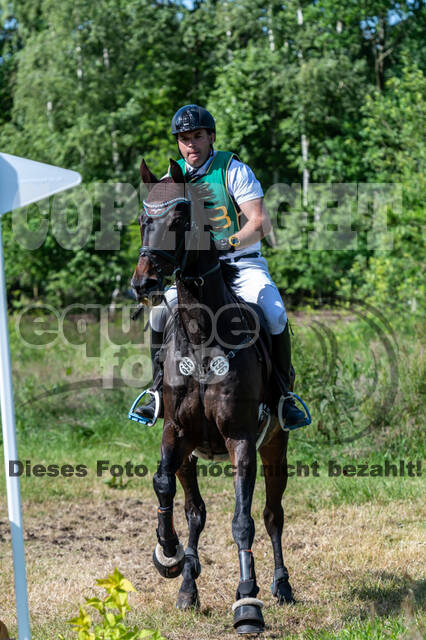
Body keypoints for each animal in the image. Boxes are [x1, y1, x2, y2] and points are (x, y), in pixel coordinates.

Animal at [130, 158, 295, 634]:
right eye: (144, 219)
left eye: (180, 221)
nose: (144, 283)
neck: (203, 334)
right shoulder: (174, 431)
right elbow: (162, 484)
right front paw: (166, 553)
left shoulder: (241, 439)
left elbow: (243, 521)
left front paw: (247, 603)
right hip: (192, 452)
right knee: (195, 512)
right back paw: (187, 586)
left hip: (275, 445)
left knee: (273, 515)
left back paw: (281, 587)